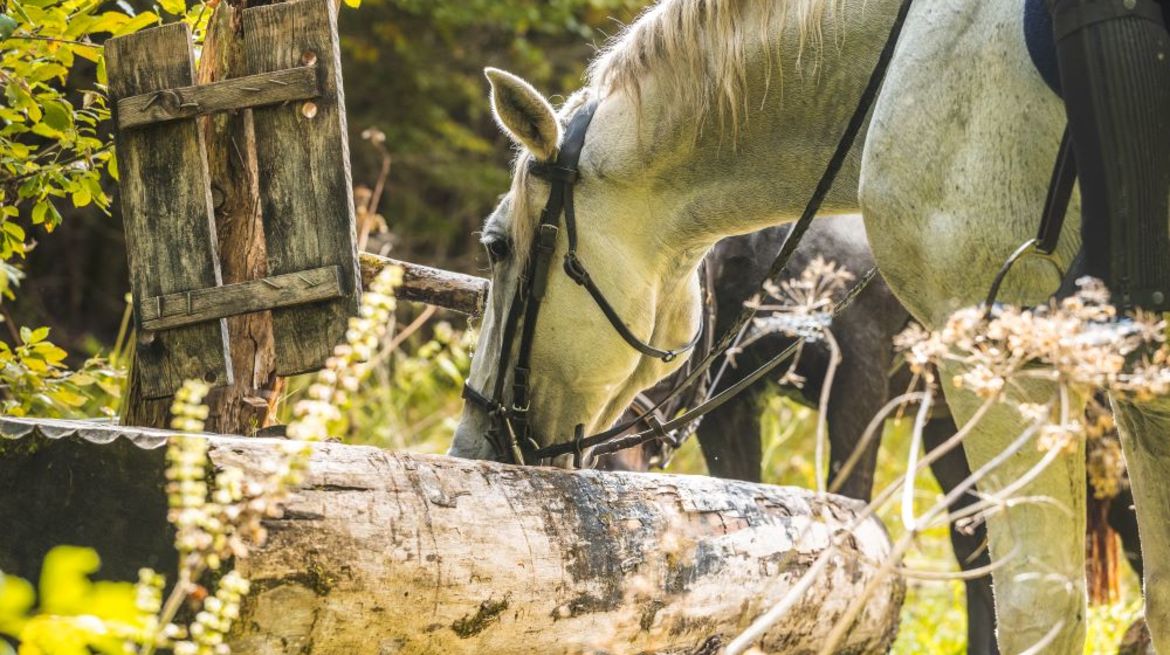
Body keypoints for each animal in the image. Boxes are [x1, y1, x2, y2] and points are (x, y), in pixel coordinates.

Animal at [608, 215, 1146, 655]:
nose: (605, 460)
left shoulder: (859, 382)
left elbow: (849, 510)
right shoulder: (730, 405)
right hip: (950, 429)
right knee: (980, 548)